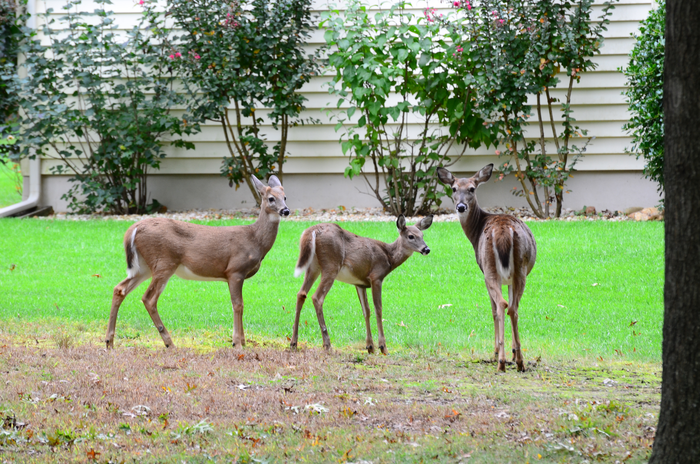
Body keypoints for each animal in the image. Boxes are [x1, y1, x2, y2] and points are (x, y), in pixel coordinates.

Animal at [105, 175, 290, 349]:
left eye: (285, 197)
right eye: (271, 198)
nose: (286, 210)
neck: (255, 240)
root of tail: (133, 229)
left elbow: (240, 305)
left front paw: (243, 341)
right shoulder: (235, 270)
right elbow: (238, 305)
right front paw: (237, 343)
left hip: (144, 266)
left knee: (119, 289)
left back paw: (109, 342)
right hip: (164, 261)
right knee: (148, 298)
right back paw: (169, 343)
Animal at [289, 215, 433, 355]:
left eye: (422, 235)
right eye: (411, 236)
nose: (426, 249)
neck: (389, 257)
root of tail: (312, 231)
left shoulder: (360, 284)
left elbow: (366, 311)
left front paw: (370, 346)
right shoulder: (376, 277)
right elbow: (378, 309)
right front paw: (383, 347)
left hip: (313, 266)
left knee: (301, 294)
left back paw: (293, 343)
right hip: (331, 265)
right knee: (317, 297)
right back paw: (327, 345)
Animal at [437, 164, 537, 372]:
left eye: (472, 189)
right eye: (453, 188)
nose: (461, 206)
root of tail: (504, 232)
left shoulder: (485, 272)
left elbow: (492, 311)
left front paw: (497, 352)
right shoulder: (509, 279)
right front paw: (512, 353)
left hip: (490, 269)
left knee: (501, 305)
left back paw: (500, 361)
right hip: (520, 269)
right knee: (513, 307)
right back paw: (519, 361)